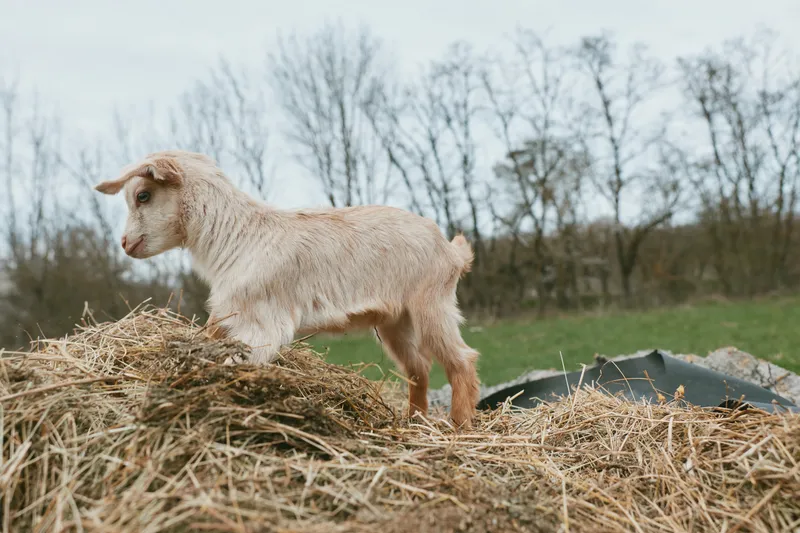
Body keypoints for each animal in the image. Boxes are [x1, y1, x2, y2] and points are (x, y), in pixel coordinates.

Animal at [95, 150, 481, 427]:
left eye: (143, 196)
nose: (125, 244)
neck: (236, 237)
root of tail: (452, 251)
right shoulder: (228, 312)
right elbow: (210, 337)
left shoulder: (262, 324)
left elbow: (235, 363)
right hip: (395, 321)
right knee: (418, 368)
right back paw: (413, 421)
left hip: (431, 304)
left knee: (461, 360)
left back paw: (459, 425)